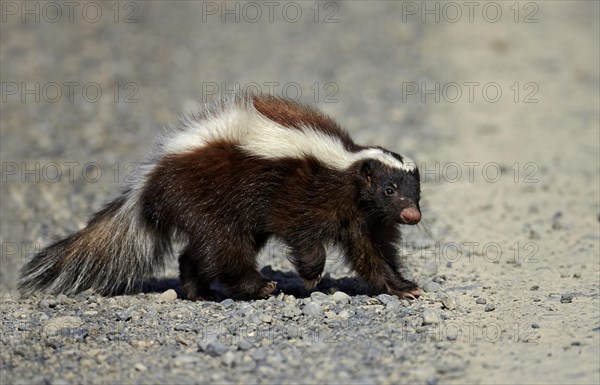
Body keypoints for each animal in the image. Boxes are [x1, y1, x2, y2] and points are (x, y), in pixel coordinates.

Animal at [19, 94, 422, 300]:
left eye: (416, 194)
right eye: (388, 190)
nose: (412, 216)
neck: (346, 168)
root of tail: (151, 179)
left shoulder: (364, 218)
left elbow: (372, 255)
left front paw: (403, 287)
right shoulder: (301, 191)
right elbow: (305, 236)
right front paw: (310, 277)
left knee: (197, 252)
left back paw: (196, 290)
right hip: (205, 197)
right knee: (223, 246)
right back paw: (259, 286)